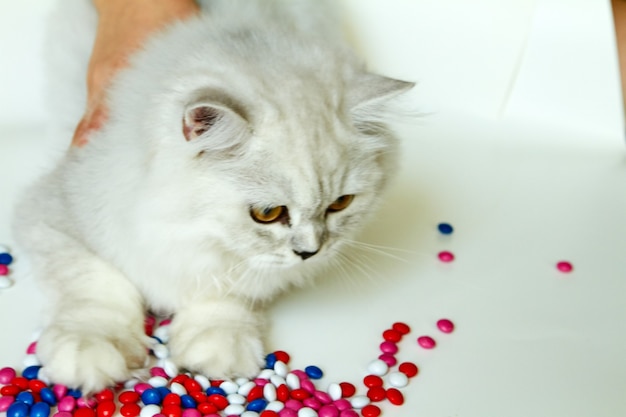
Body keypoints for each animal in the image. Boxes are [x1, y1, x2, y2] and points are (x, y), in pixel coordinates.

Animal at [12, 0, 412, 392]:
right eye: (268, 213)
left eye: (339, 204)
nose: (309, 253)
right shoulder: (54, 215)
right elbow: (97, 283)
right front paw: (90, 350)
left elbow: (223, 295)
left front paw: (218, 348)